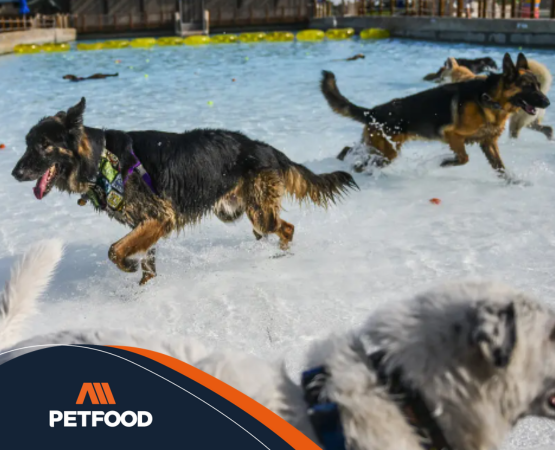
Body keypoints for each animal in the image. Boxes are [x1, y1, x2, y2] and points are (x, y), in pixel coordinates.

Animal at [10, 100, 358, 286]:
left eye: (43, 145)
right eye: (27, 144)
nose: (14, 174)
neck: (102, 159)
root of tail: (266, 148)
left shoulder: (159, 219)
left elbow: (114, 250)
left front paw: (127, 267)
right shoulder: (147, 225)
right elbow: (145, 262)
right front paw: (143, 289)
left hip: (260, 214)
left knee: (286, 228)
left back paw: (282, 255)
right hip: (237, 212)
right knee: (269, 230)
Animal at [324, 53, 548, 177]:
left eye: (538, 85)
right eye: (528, 87)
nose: (547, 102)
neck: (490, 99)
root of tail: (373, 111)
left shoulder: (488, 143)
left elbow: (500, 168)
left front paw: (514, 181)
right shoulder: (453, 136)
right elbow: (464, 157)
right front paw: (445, 162)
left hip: (378, 147)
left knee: (350, 150)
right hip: (387, 152)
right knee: (360, 161)